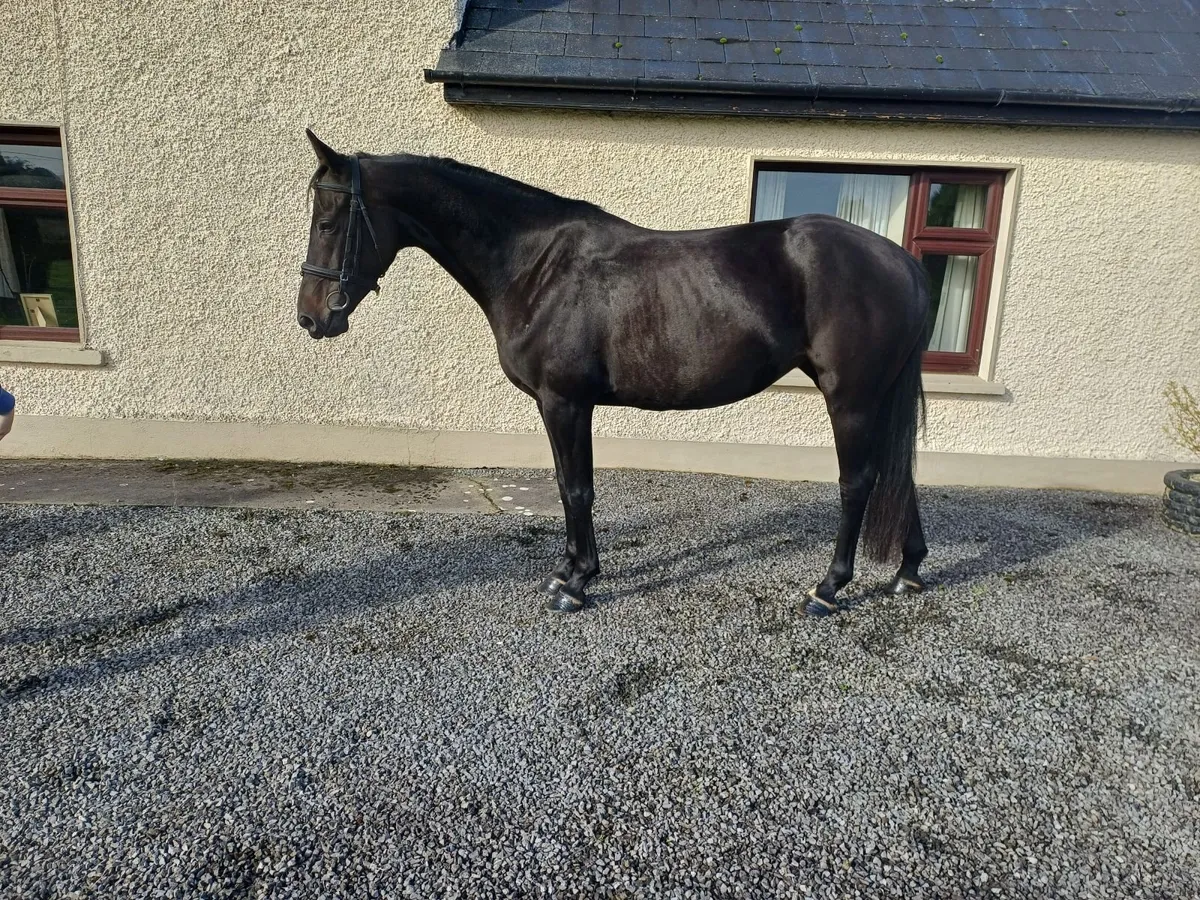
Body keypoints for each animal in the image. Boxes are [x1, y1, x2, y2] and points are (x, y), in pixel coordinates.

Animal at [297, 130, 931, 617]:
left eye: (328, 223)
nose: (311, 317)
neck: (537, 266)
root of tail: (902, 260)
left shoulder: (565, 401)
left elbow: (577, 488)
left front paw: (577, 585)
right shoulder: (558, 404)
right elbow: (564, 484)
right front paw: (567, 570)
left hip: (850, 398)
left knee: (859, 482)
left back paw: (827, 589)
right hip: (876, 398)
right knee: (899, 476)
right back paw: (909, 571)